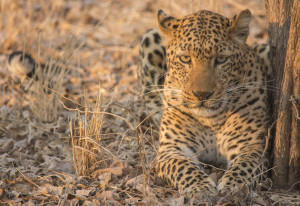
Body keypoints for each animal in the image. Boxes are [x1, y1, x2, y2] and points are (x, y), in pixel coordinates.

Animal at [139, 9, 270, 203]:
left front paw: (233, 188)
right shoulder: (171, 149)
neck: (210, 120)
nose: (202, 95)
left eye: (221, 59)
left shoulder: (252, 147)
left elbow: (244, 167)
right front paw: (201, 188)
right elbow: (182, 167)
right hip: (149, 37)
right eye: (185, 58)